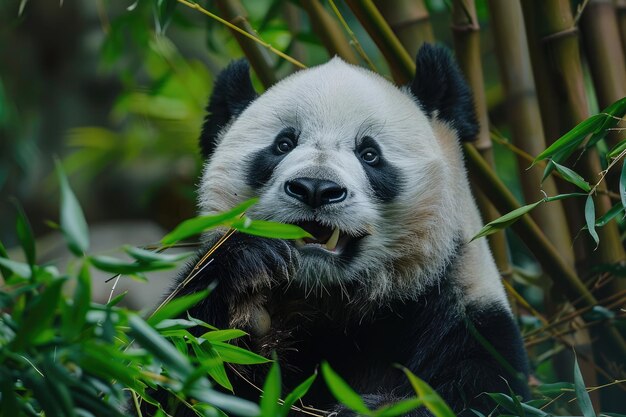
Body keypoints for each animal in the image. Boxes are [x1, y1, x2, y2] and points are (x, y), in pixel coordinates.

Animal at [160, 44, 528, 414]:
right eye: (283, 144)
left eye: (370, 154)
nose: (315, 188)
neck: (327, 298)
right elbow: (177, 354)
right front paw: (249, 270)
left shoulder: (466, 316)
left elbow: (475, 394)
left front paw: (366, 407)